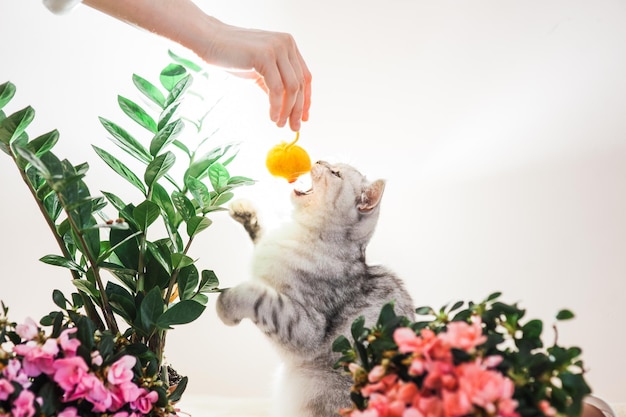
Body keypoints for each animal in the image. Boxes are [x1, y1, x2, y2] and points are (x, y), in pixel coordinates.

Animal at [216, 160, 414, 416]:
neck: (300, 230)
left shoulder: (304, 326)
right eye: (332, 164)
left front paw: (226, 304)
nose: (320, 161)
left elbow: (255, 295)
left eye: (335, 173)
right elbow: (261, 233)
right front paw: (245, 210)